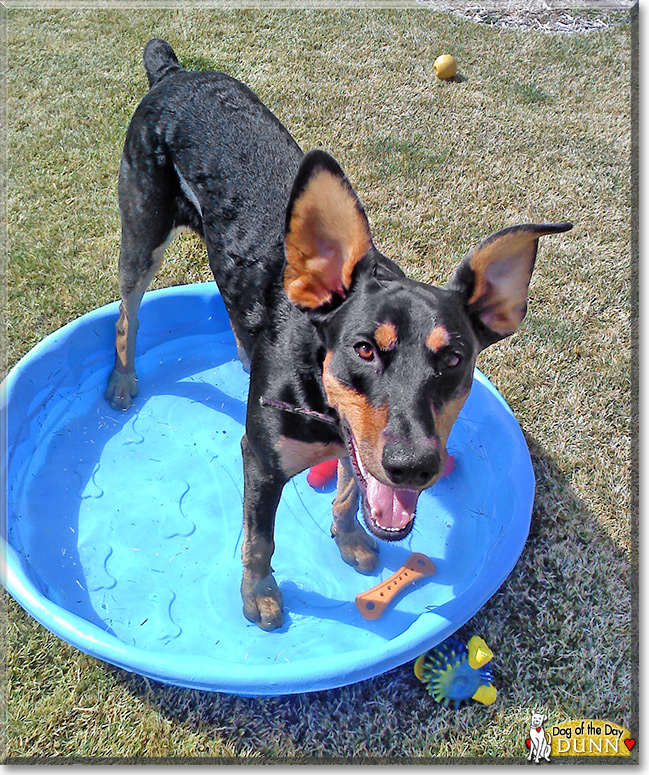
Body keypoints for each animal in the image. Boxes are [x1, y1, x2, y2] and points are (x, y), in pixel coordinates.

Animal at [106, 38, 572, 632]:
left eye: (453, 360)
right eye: (364, 348)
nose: (415, 466)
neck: (316, 386)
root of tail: (172, 71)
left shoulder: (360, 447)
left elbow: (351, 492)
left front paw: (348, 538)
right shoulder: (261, 461)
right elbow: (259, 540)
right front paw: (259, 595)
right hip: (143, 230)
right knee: (128, 316)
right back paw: (123, 380)